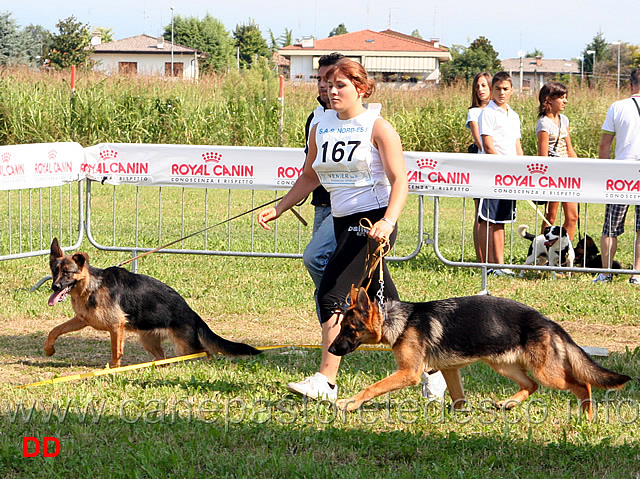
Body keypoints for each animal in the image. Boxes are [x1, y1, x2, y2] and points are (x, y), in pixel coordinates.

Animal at [44, 239, 260, 368]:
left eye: (68, 273)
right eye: (55, 271)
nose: (55, 287)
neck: (91, 286)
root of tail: (191, 313)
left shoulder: (116, 326)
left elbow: (116, 351)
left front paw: (113, 370)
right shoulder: (82, 320)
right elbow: (55, 330)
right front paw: (49, 349)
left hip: (185, 347)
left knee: (206, 353)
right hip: (149, 341)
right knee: (163, 357)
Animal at [330, 286, 632, 418]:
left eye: (349, 329)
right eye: (340, 326)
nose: (332, 349)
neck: (397, 321)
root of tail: (547, 321)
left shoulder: (408, 373)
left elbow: (373, 387)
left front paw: (350, 403)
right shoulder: (450, 369)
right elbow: (458, 397)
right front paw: (457, 415)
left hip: (548, 373)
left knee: (582, 384)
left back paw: (587, 417)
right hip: (503, 365)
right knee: (530, 385)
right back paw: (509, 403)